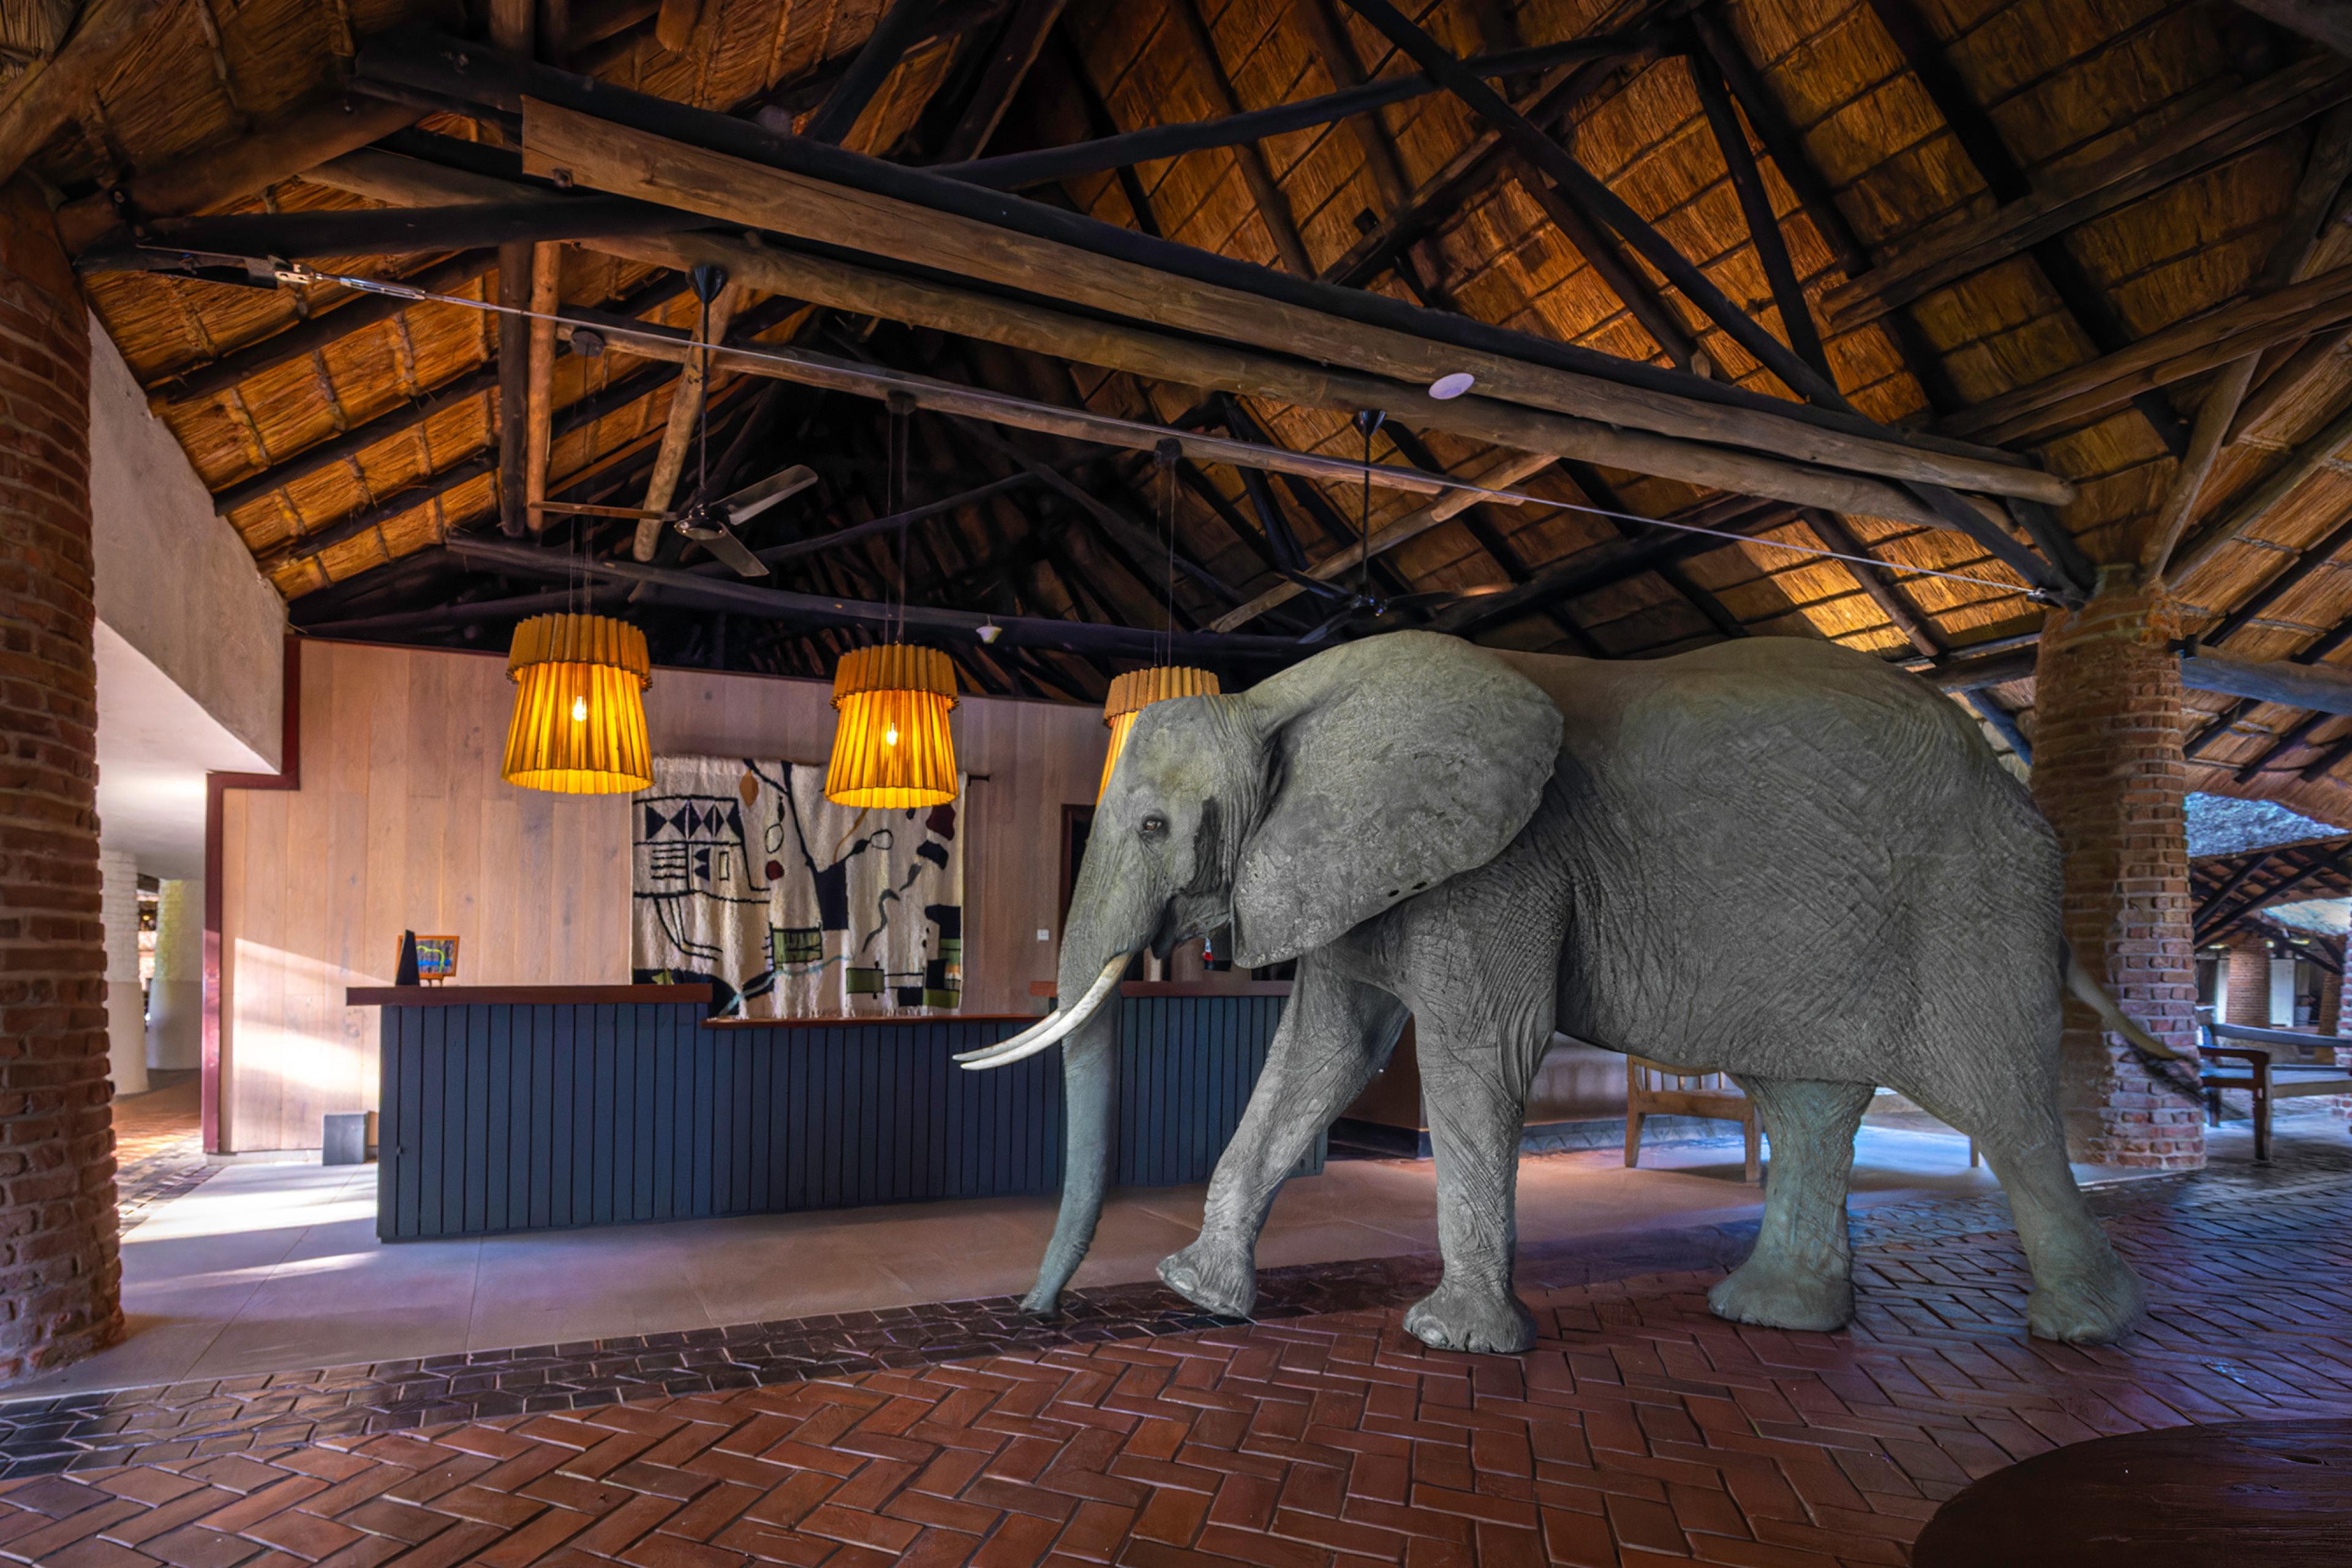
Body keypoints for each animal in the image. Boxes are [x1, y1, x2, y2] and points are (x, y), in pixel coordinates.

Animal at [958, 631, 2178, 1353]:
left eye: (1154, 827)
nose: (1036, 1312)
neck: (1273, 700)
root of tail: (2008, 781)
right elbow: (1323, 1053)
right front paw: (1195, 1295)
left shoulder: (1506, 862)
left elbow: (1477, 1051)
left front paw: (1452, 1342)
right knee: (1806, 1101)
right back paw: (1774, 1316)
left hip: (1973, 903)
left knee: (2000, 1103)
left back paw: (2087, 1332)